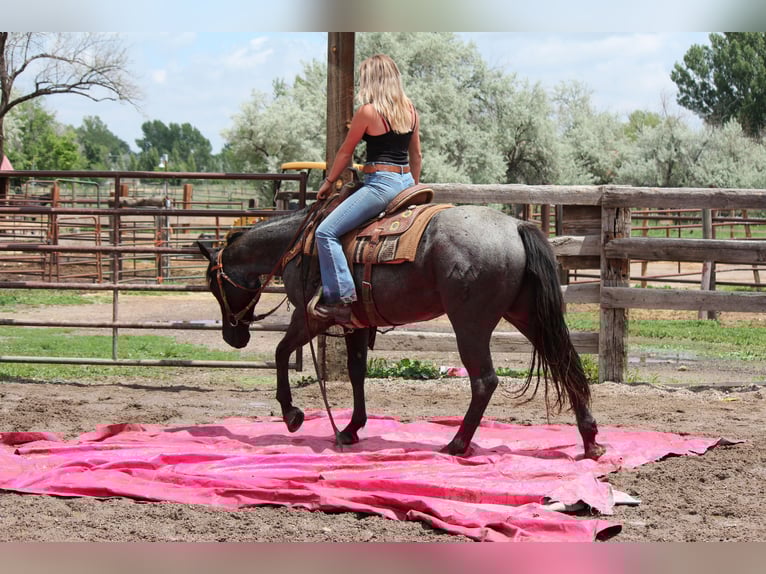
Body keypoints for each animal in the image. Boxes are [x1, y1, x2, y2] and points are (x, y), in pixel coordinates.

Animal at [197, 198, 605, 459]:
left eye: (213, 285)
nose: (233, 337)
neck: (300, 244)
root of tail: (516, 225)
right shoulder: (355, 323)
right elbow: (356, 372)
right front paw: (350, 429)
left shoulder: (311, 316)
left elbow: (282, 352)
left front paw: (292, 415)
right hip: (527, 315)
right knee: (566, 364)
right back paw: (590, 441)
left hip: (470, 322)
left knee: (484, 381)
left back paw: (457, 444)